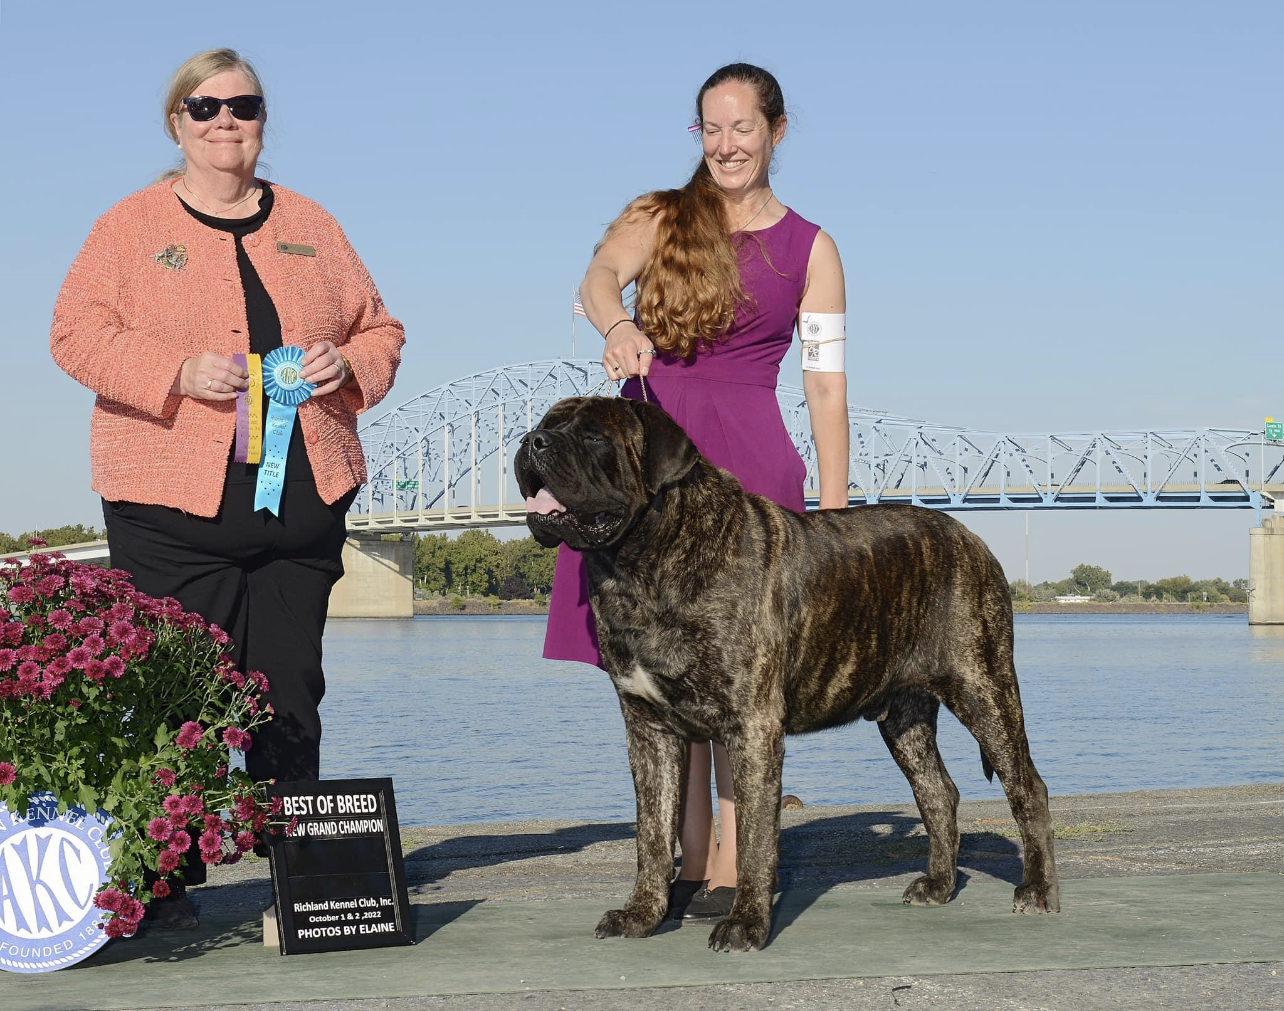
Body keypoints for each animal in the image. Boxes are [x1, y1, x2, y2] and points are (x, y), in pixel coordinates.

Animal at [516, 395, 1058, 950]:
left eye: (593, 436)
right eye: (545, 424)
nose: (530, 442)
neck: (639, 566)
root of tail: (972, 538)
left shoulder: (752, 726)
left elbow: (754, 835)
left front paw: (745, 923)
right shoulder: (649, 730)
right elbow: (652, 833)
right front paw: (642, 914)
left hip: (983, 688)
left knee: (1027, 788)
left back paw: (1037, 891)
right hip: (904, 718)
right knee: (938, 791)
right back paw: (939, 885)